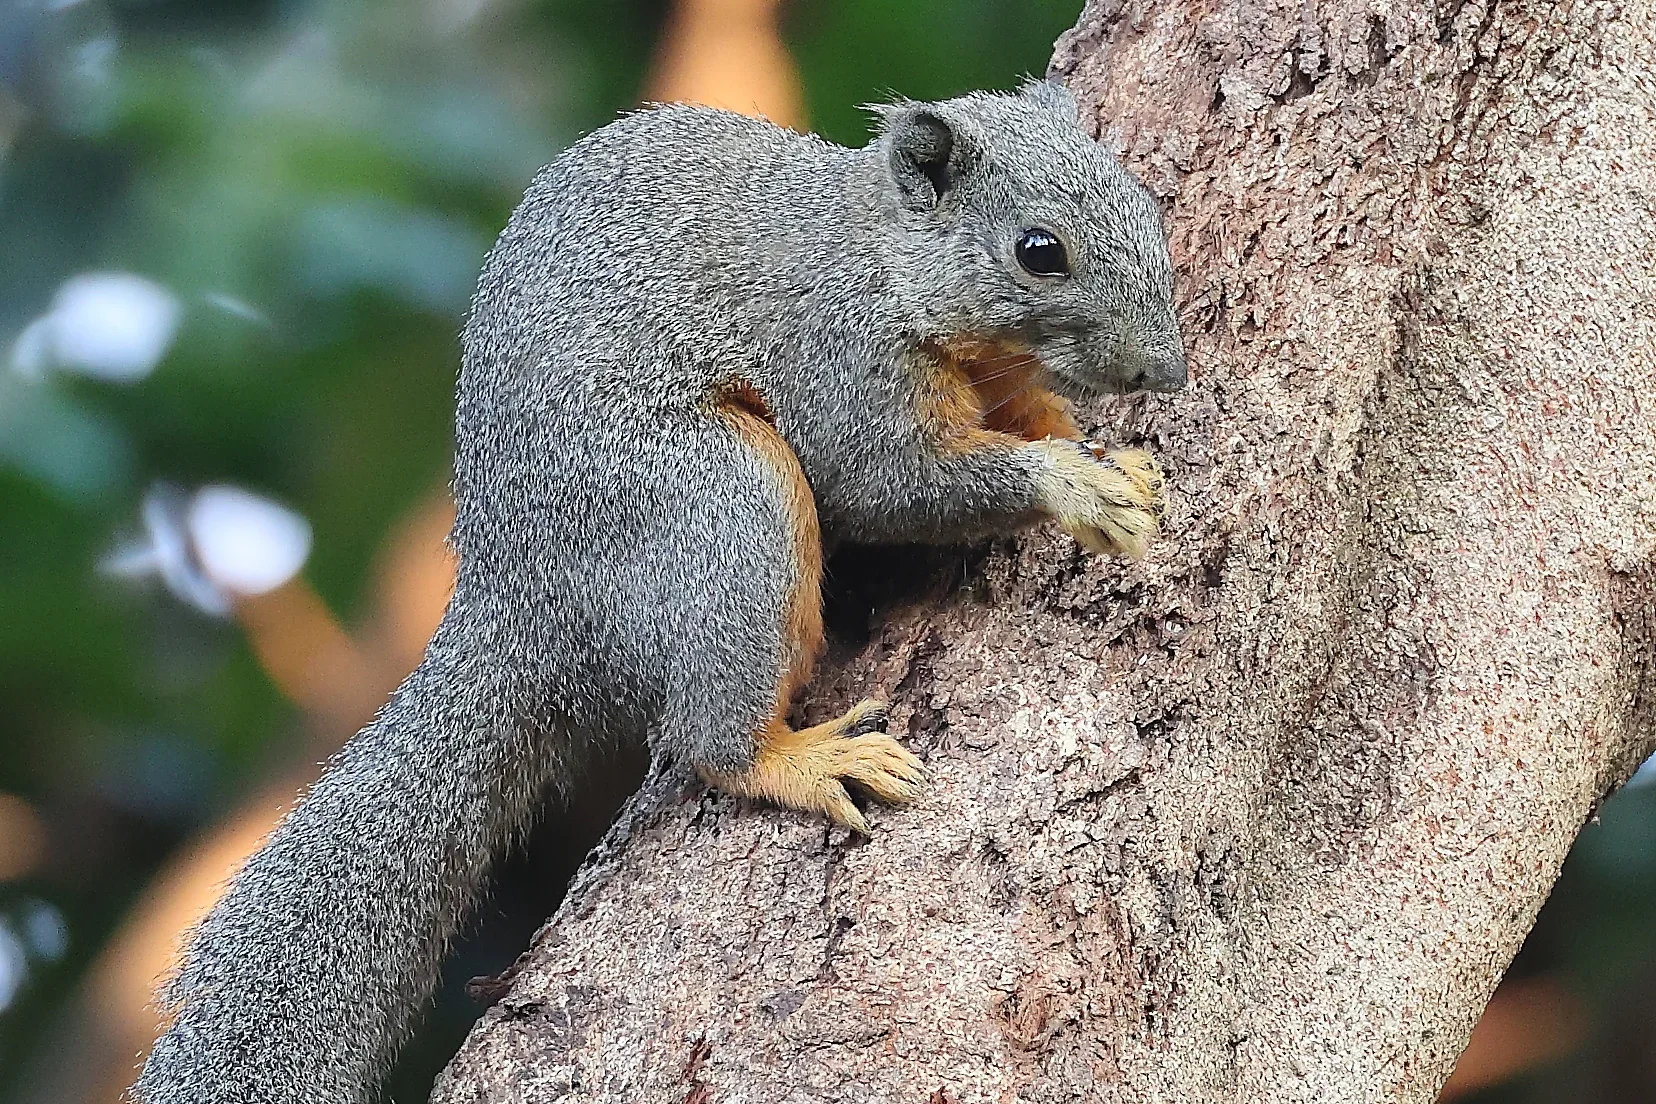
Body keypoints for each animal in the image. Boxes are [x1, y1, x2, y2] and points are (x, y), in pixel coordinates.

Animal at [132, 79, 1184, 1104]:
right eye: (1038, 252)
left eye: (1146, 201)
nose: (1164, 371)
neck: (886, 256)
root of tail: (519, 594)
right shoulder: (840, 352)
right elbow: (885, 480)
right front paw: (1071, 485)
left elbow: (1026, 415)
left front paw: (1105, 455)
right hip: (711, 503)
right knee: (709, 732)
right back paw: (791, 759)